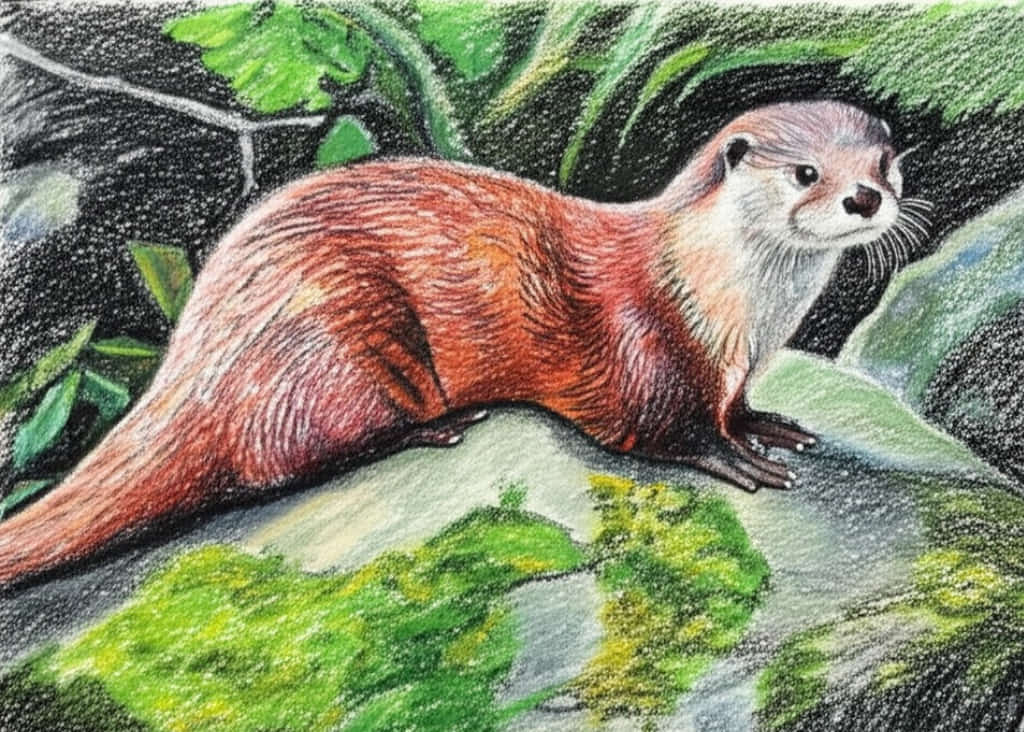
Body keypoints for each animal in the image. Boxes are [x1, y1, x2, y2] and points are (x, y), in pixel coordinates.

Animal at [0, 101, 915, 587]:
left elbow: (736, 405)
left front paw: (768, 425)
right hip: (336, 342)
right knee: (279, 462)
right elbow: (660, 429)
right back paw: (432, 427)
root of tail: (193, 353)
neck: (732, 312)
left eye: (884, 161)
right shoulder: (645, 348)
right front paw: (735, 458)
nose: (866, 197)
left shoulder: (731, 366)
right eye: (805, 174)